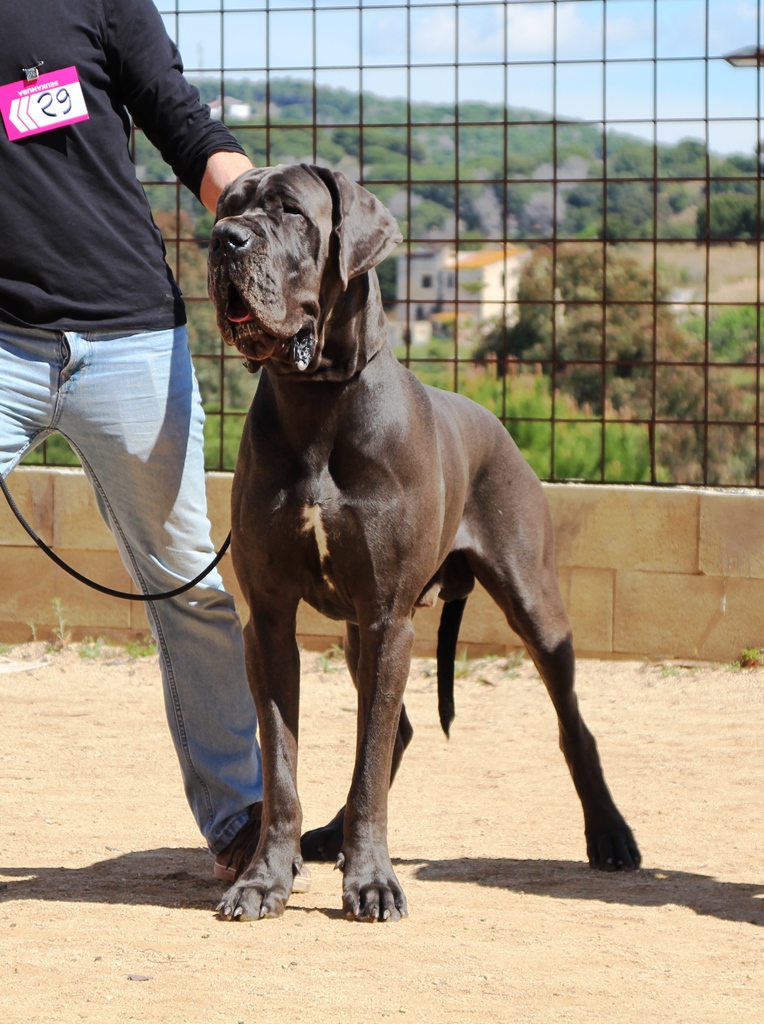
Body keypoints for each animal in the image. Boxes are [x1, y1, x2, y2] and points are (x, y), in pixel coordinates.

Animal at [206, 165, 634, 921]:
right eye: (228, 206)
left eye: (290, 211)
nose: (224, 239)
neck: (317, 400)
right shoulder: (274, 619)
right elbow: (282, 762)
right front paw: (265, 878)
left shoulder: (388, 616)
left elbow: (370, 756)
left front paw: (371, 880)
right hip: (358, 630)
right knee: (398, 729)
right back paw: (329, 835)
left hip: (531, 600)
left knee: (571, 724)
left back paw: (610, 835)